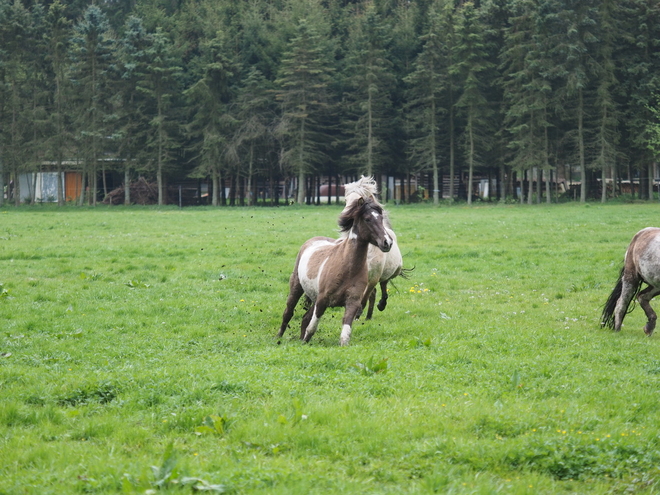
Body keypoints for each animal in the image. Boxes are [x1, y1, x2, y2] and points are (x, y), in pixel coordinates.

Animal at [278, 196, 392, 346]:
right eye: (368, 219)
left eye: (381, 218)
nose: (387, 242)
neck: (347, 269)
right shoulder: (322, 301)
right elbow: (312, 327)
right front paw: (305, 341)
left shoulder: (352, 302)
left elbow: (345, 333)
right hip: (296, 287)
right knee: (288, 313)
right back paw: (278, 338)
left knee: (305, 317)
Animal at [342, 176, 404, 320]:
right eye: (346, 200)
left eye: (359, 201)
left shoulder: (373, 277)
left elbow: (365, 297)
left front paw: (358, 313)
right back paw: (369, 316)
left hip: (394, 270)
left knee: (383, 283)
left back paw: (380, 305)